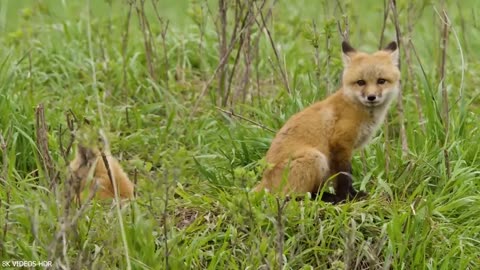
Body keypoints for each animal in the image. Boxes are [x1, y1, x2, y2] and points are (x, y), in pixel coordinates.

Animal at [253, 41, 400, 202]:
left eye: (381, 81)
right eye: (361, 82)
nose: (371, 97)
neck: (355, 108)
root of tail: (264, 179)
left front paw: (349, 195)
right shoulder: (340, 143)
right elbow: (344, 176)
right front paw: (347, 197)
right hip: (316, 158)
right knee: (293, 197)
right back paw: (328, 198)